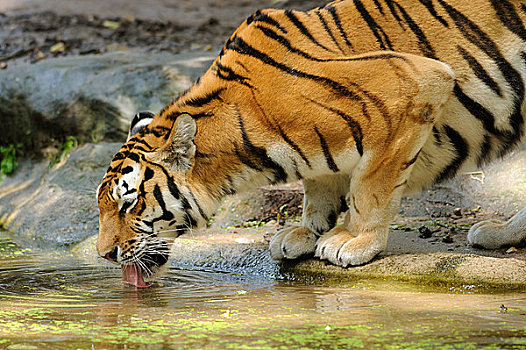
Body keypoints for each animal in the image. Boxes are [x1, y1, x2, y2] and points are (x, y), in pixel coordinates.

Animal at [97, 0, 526, 288]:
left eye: (129, 203)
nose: (104, 254)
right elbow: (319, 184)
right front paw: (306, 233)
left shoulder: (414, 84)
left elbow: (371, 186)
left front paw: (355, 241)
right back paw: (501, 233)